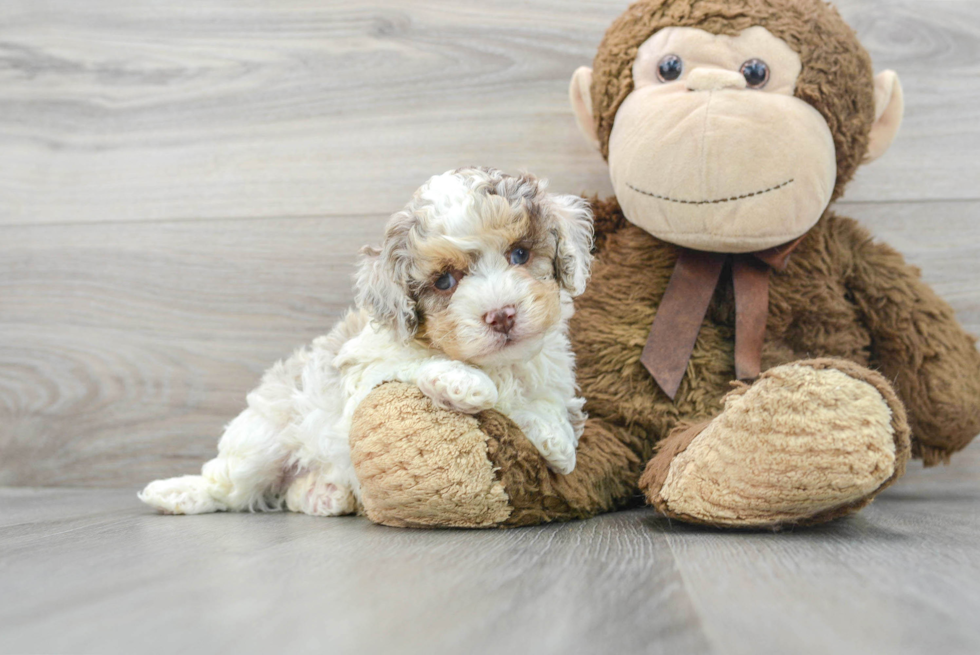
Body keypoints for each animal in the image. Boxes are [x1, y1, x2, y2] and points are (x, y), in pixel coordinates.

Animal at [139, 168, 592, 516]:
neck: (500, 364)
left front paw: (555, 439)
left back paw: (322, 494)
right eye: (445, 281)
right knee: (229, 485)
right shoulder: (363, 367)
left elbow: (546, 403)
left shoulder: (552, 371)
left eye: (519, 254)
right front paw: (462, 383)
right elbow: (411, 363)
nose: (501, 315)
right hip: (264, 434)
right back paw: (175, 493)